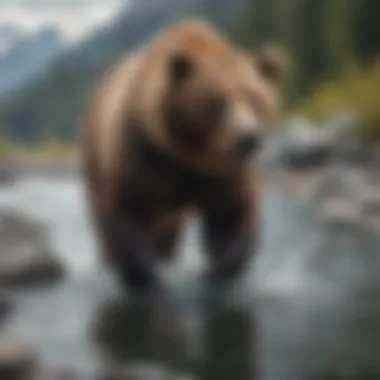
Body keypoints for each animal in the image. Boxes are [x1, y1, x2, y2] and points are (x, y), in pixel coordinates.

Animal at [81, 19, 286, 296]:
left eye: (256, 98)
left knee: (167, 227)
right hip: (95, 155)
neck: (188, 153)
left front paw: (221, 269)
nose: (247, 137)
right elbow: (128, 210)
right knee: (103, 214)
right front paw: (145, 278)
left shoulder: (223, 173)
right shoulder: (143, 157)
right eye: (217, 101)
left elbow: (231, 212)